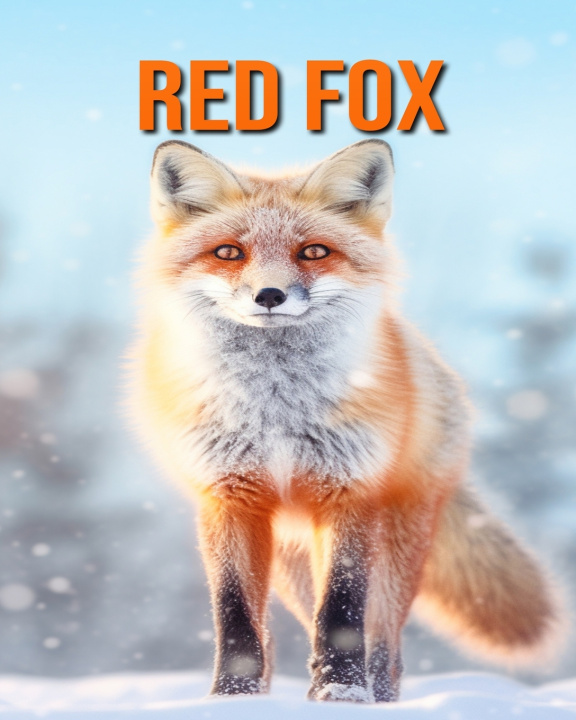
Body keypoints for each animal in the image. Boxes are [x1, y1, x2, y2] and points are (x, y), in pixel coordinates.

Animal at [129, 139, 566, 703]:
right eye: (229, 252)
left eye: (314, 251)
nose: (269, 295)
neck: (276, 411)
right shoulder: (228, 498)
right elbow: (236, 616)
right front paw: (232, 698)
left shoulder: (348, 492)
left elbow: (341, 610)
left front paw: (343, 692)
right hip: (288, 558)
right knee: (277, 629)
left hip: (396, 543)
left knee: (384, 638)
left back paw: (376, 695)